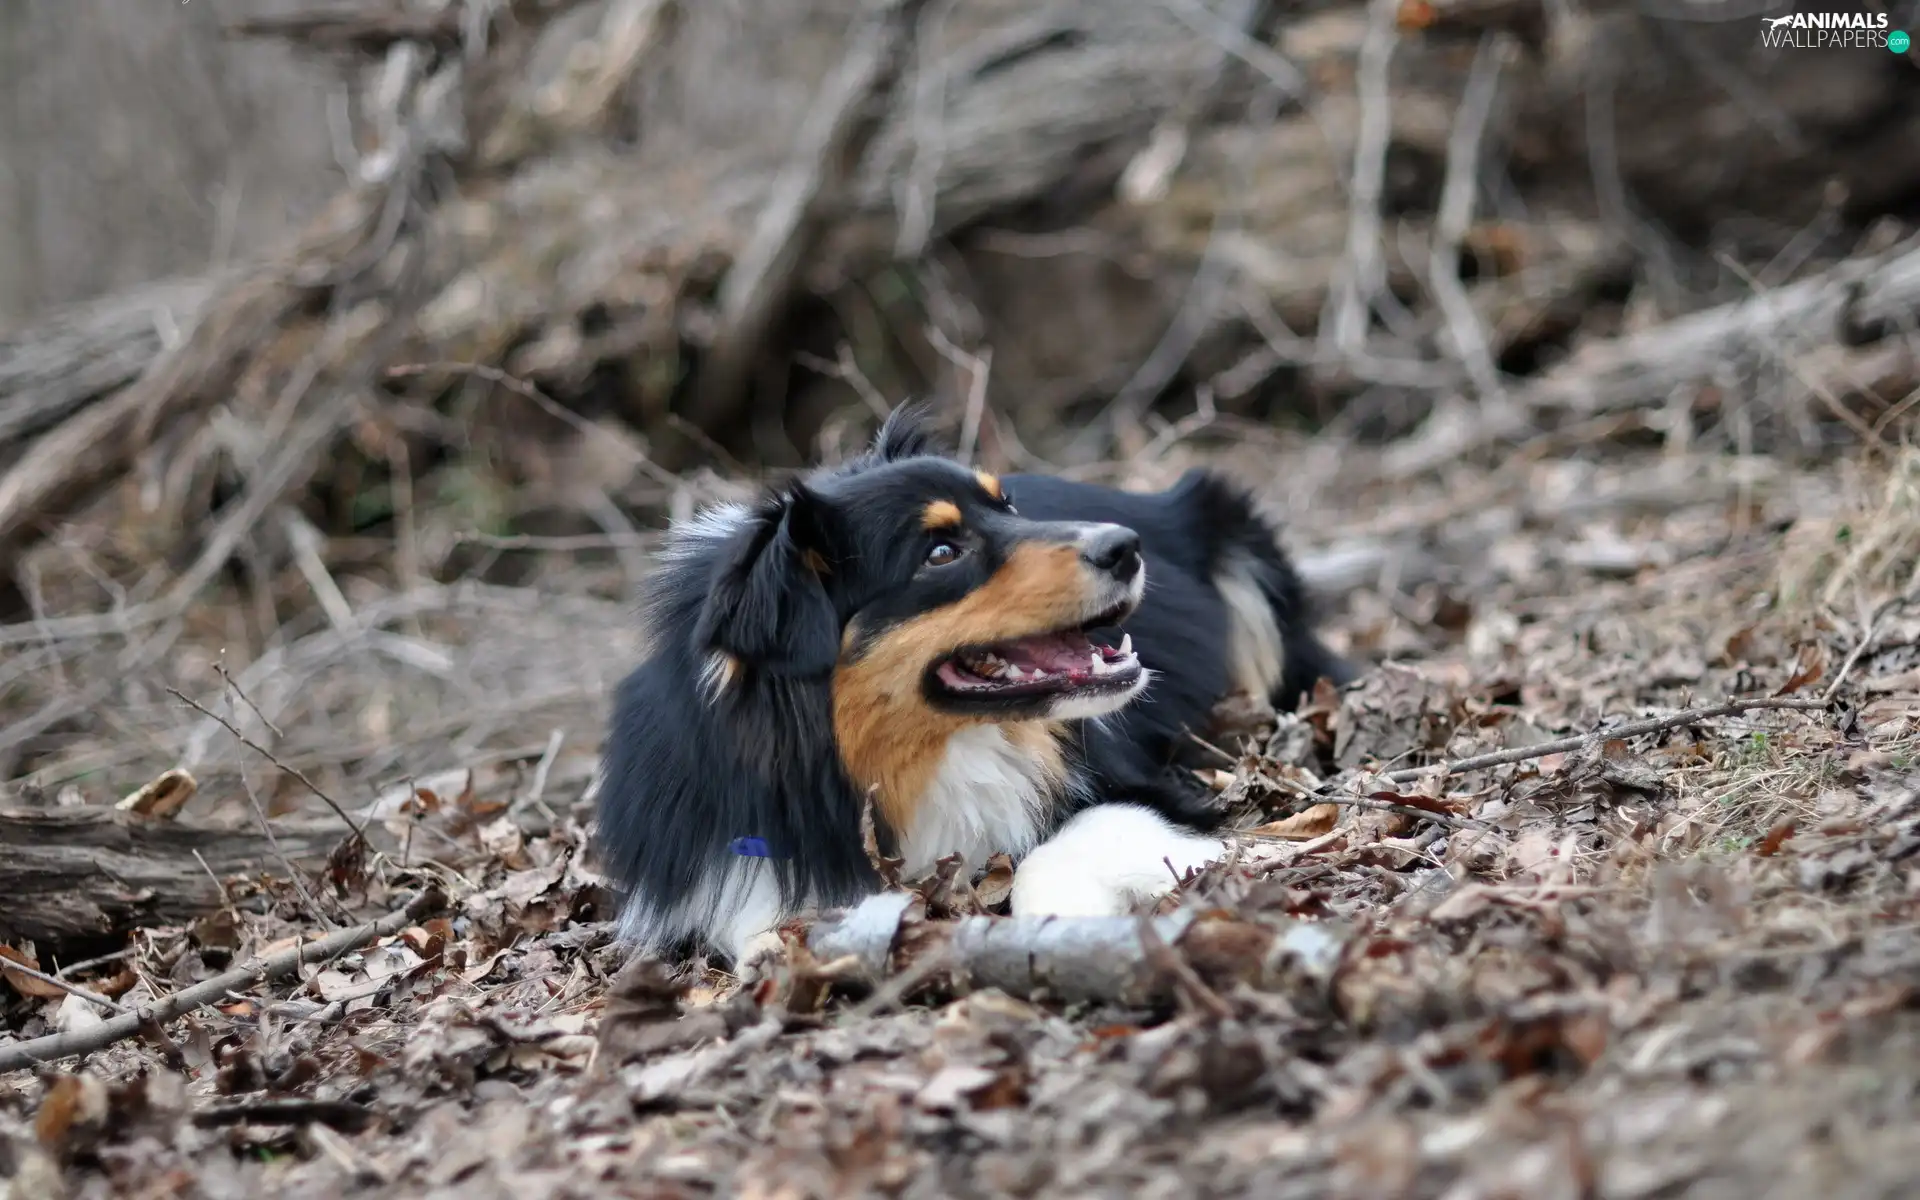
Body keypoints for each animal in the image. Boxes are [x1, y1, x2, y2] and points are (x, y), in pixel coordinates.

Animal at [591, 407, 1359, 967]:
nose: (1126, 547)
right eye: (941, 552)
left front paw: (1069, 918)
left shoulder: (1139, 784)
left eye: (1008, 507)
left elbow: (1060, 841)